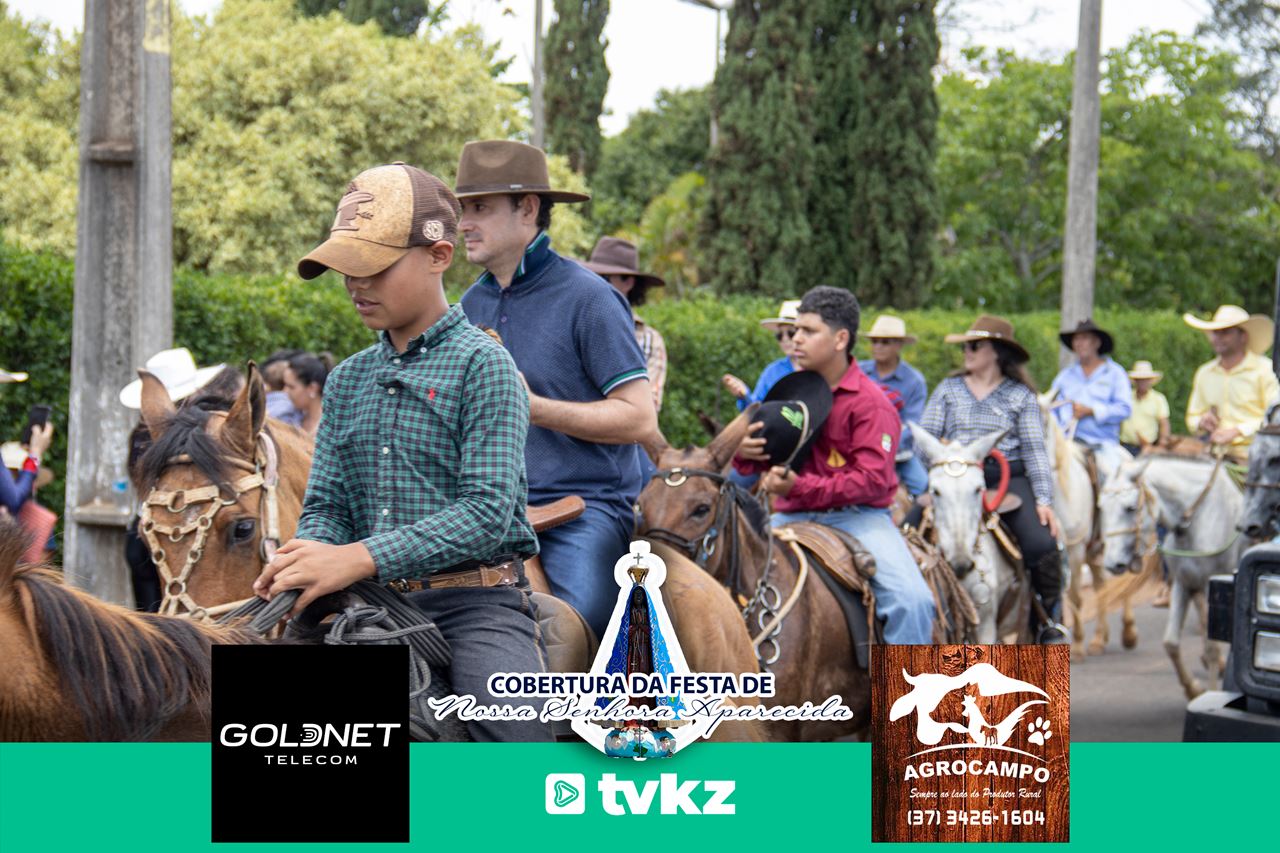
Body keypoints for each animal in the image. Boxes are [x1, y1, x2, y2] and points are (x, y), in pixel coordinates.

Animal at [1099, 454, 1243, 699]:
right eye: (1102, 508)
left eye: (1130, 508)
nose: (1112, 563)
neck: (1200, 517)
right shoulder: (1183, 583)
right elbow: (1171, 643)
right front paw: (1193, 688)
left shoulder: (1213, 588)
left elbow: (1213, 647)